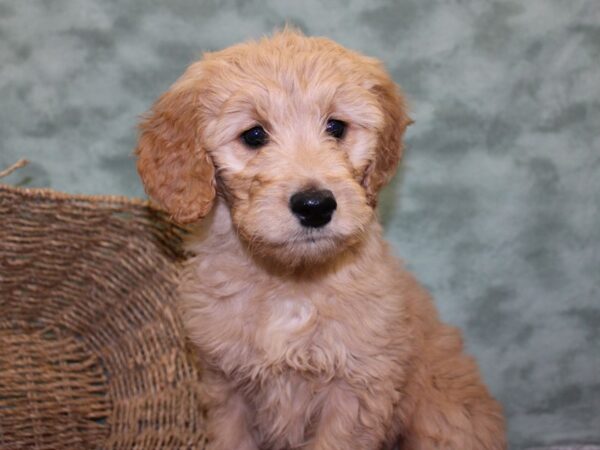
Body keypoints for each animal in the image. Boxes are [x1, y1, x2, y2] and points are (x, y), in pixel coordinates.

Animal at [136, 28, 506, 450]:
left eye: (336, 127)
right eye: (254, 135)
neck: (292, 283)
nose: (315, 205)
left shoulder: (356, 389)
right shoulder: (226, 388)